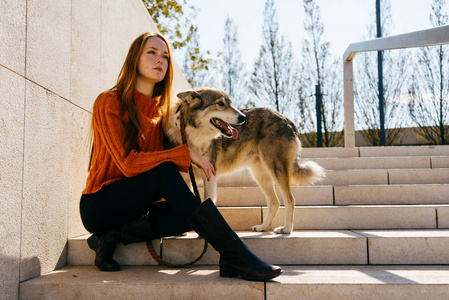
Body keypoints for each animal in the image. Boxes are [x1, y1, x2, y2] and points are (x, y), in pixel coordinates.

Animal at [163, 87, 324, 234]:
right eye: (220, 103)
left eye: (230, 103)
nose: (243, 118)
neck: (192, 135)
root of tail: (287, 119)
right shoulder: (186, 178)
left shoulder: (209, 176)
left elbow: (206, 201)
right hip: (260, 175)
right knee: (275, 202)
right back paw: (263, 227)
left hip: (276, 170)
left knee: (290, 199)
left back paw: (286, 229)